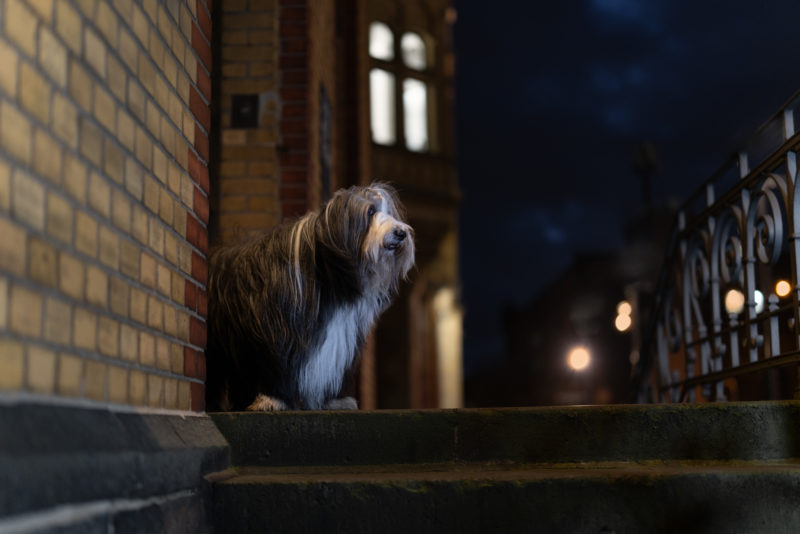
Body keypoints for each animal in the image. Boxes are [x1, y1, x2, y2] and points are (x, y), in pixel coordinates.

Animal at [203, 182, 416, 412]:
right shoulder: (276, 328)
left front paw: (332, 400)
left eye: (390, 212)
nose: (400, 232)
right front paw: (274, 398)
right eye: (370, 211)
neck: (329, 274)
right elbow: (277, 362)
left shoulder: (339, 337)